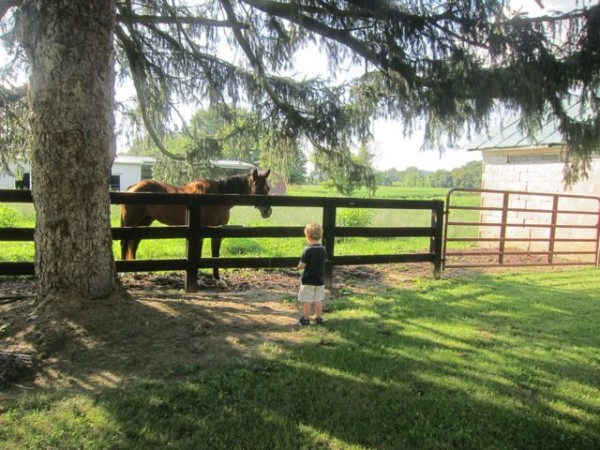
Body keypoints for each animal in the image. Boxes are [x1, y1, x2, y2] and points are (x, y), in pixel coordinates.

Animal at [120, 169, 270, 288]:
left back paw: (135, 272)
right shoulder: (201, 231)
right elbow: (198, 254)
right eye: (257, 187)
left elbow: (215, 254)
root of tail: (133, 187)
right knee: (125, 243)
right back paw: (123, 273)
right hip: (131, 222)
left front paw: (218, 280)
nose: (267, 211)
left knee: (133, 243)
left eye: (268, 189)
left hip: (144, 222)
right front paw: (197, 280)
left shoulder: (217, 231)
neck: (216, 195)